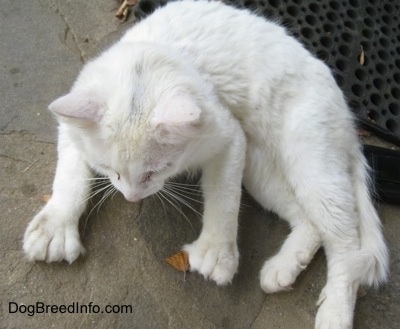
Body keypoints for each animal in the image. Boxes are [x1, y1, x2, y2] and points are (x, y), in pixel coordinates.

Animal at [23, 1, 390, 326]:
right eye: (111, 171)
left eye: (156, 172)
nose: (131, 198)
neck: (153, 57)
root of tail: (349, 121)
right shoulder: (71, 127)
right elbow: (70, 178)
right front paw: (55, 227)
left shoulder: (228, 135)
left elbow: (223, 201)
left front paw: (216, 252)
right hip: (260, 169)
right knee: (310, 222)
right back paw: (284, 268)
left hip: (311, 160)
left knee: (346, 244)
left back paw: (335, 312)